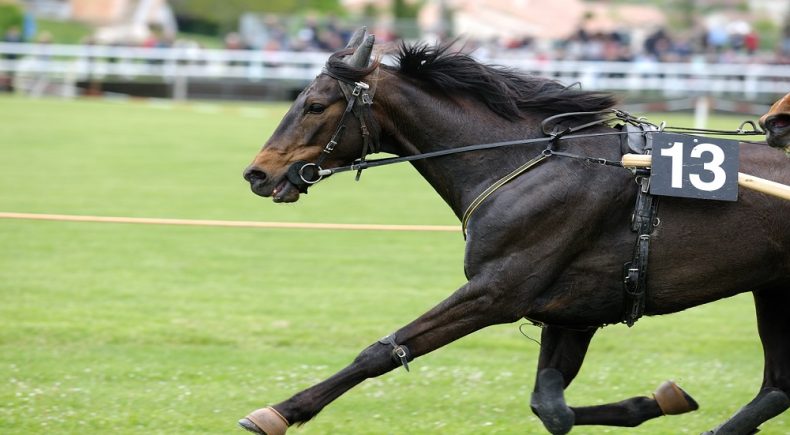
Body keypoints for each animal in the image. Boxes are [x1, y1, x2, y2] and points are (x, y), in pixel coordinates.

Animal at [241, 29, 790, 434]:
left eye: (315, 105)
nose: (257, 174)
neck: (523, 162)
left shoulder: (497, 291)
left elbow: (382, 351)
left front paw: (278, 413)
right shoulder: (571, 313)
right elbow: (551, 407)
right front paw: (659, 400)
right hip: (771, 291)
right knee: (776, 388)